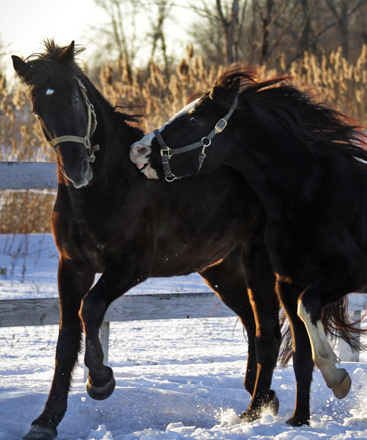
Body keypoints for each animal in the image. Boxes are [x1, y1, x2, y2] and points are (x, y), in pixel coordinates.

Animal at [12, 42, 290, 440]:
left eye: (75, 100)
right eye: (38, 108)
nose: (78, 170)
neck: (108, 187)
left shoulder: (131, 266)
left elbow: (90, 310)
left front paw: (101, 382)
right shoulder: (73, 268)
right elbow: (66, 339)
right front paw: (46, 421)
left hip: (257, 263)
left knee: (267, 326)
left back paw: (258, 403)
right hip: (222, 269)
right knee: (253, 323)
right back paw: (261, 396)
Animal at [130, 65, 367, 426]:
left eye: (194, 118)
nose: (138, 150)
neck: (310, 193)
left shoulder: (345, 274)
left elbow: (307, 309)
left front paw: (338, 379)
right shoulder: (288, 283)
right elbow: (301, 354)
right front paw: (298, 419)